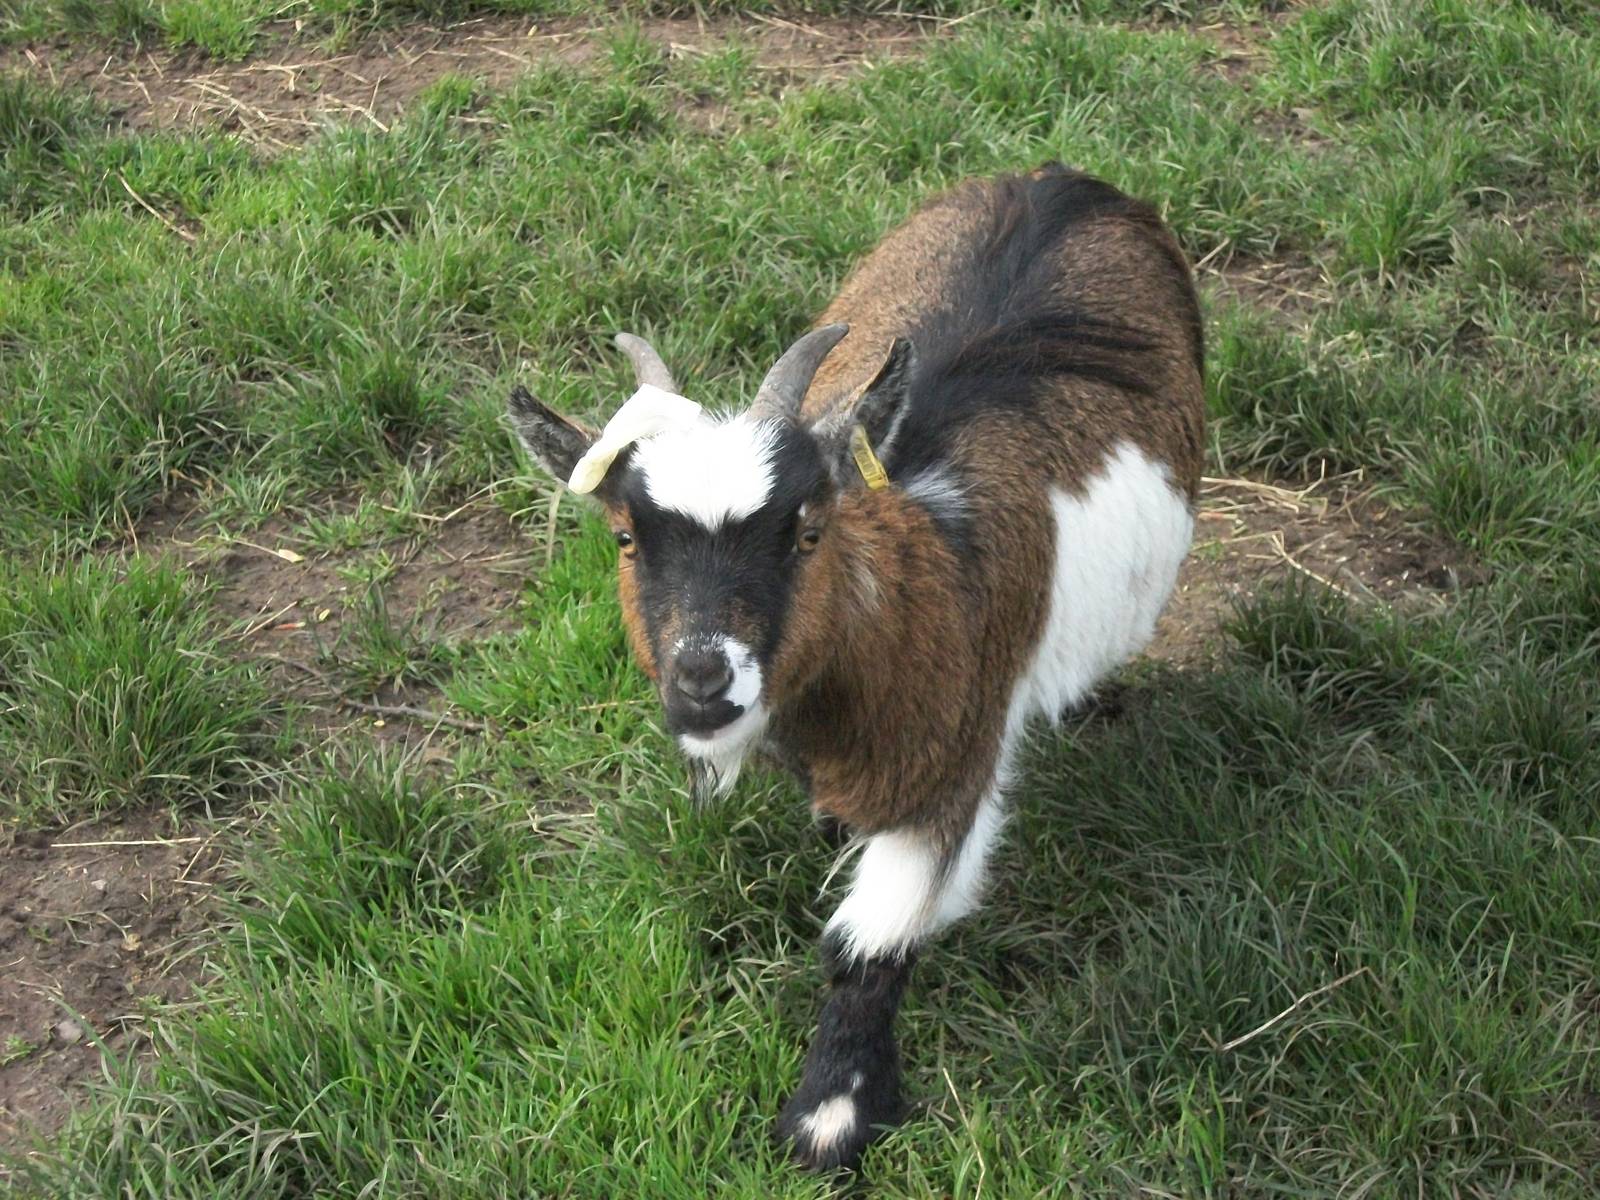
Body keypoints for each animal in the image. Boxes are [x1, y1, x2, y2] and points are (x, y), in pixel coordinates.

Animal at [506, 164, 1205, 1172]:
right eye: (628, 539)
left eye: (806, 531)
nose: (703, 681)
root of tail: (1061, 178)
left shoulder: (952, 759)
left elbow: (865, 942)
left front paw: (829, 1117)